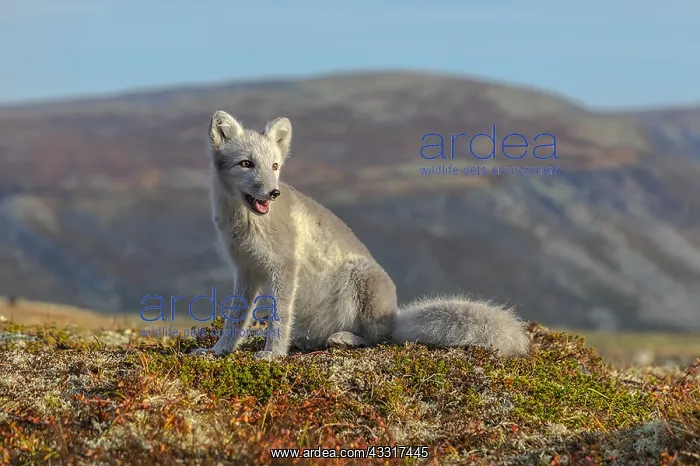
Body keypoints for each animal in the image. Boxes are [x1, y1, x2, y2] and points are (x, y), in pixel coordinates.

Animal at [191, 111, 531, 361]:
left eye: (274, 166)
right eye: (246, 164)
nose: (273, 192)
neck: (246, 223)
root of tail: (394, 315)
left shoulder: (284, 267)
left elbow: (279, 317)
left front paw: (272, 355)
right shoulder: (245, 270)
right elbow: (235, 319)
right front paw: (218, 351)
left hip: (361, 277)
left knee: (377, 339)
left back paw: (344, 339)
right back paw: (306, 341)